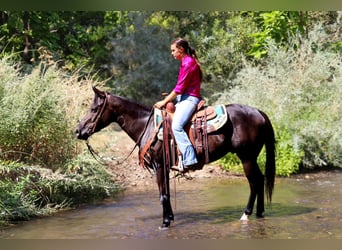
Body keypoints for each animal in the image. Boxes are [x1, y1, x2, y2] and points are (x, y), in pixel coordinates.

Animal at [75, 86, 276, 229]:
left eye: (94, 108)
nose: (78, 131)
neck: (147, 125)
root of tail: (259, 112)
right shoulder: (164, 167)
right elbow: (167, 193)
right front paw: (170, 218)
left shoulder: (159, 166)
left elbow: (163, 195)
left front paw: (165, 223)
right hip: (251, 157)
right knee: (260, 180)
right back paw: (259, 213)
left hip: (246, 157)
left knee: (254, 182)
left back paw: (246, 214)